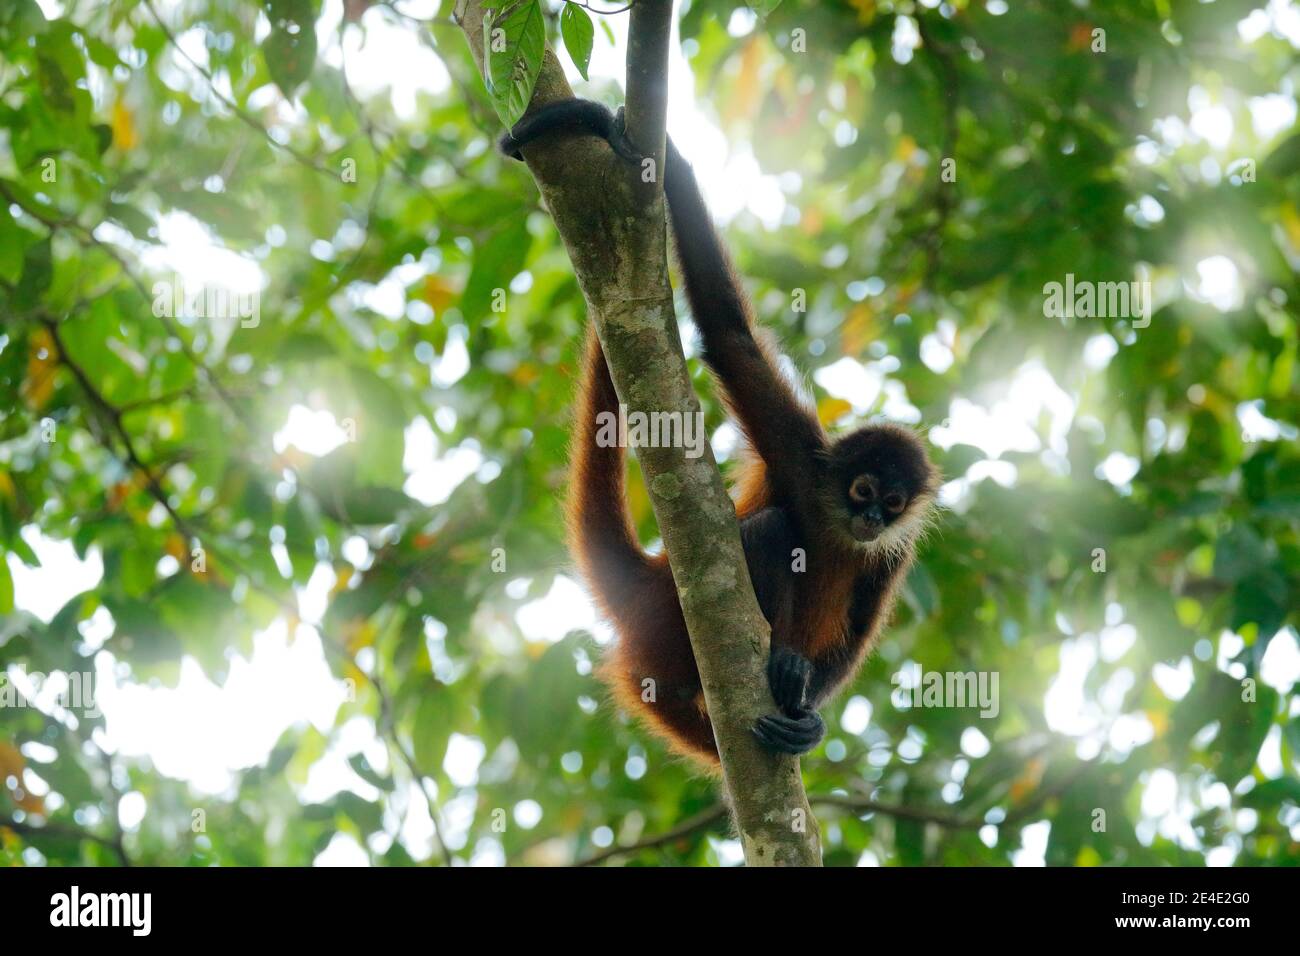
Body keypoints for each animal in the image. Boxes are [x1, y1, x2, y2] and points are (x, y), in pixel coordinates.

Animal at [496, 98, 935, 770]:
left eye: (892, 502)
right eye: (862, 490)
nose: (870, 519)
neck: (836, 520)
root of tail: (653, 586)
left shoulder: (895, 549)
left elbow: (859, 625)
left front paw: (810, 719)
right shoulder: (798, 450)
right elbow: (730, 337)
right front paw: (674, 159)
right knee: (771, 531)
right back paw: (778, 661)